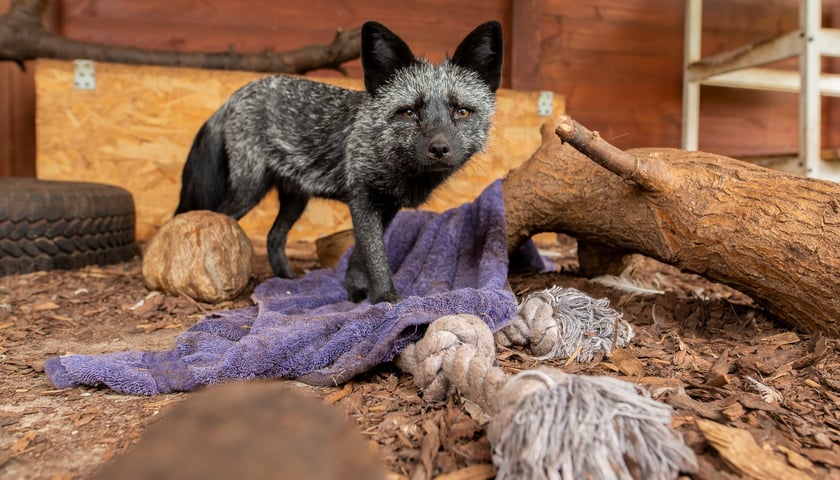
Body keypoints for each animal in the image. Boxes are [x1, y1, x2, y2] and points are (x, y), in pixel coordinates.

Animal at [176, 21, 502, 304]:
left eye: (461, 112)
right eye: (408, 113)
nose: (439, 149)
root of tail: (234, 96)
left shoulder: (387, 206)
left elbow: (360, 253)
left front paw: (356, 290)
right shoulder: (363, 199)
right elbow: (375, 256)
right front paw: (386, 300)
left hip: (295, 200)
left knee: (273, 236)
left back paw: (287, 282)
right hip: (248, 190)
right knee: (218, 218)